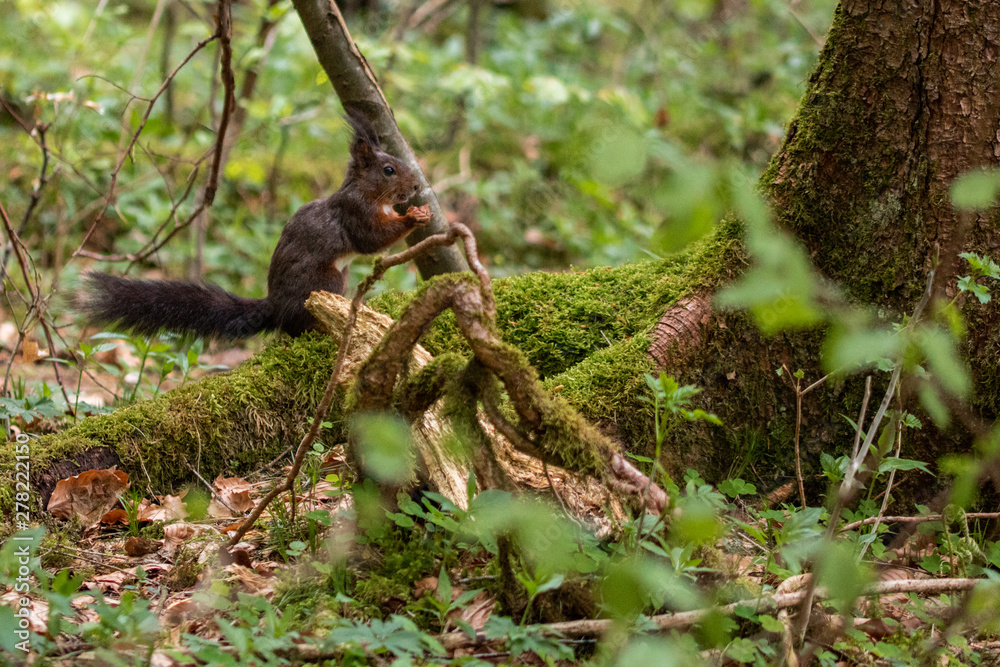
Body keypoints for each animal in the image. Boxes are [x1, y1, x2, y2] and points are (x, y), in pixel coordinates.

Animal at [80, 110, 432, 342]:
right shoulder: (353, 213)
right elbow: (371, 239)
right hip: (325, 281)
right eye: (389, 170)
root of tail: (275, 307)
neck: (370, 194)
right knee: (296, 326)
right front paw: (413, 217)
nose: (417, 186)